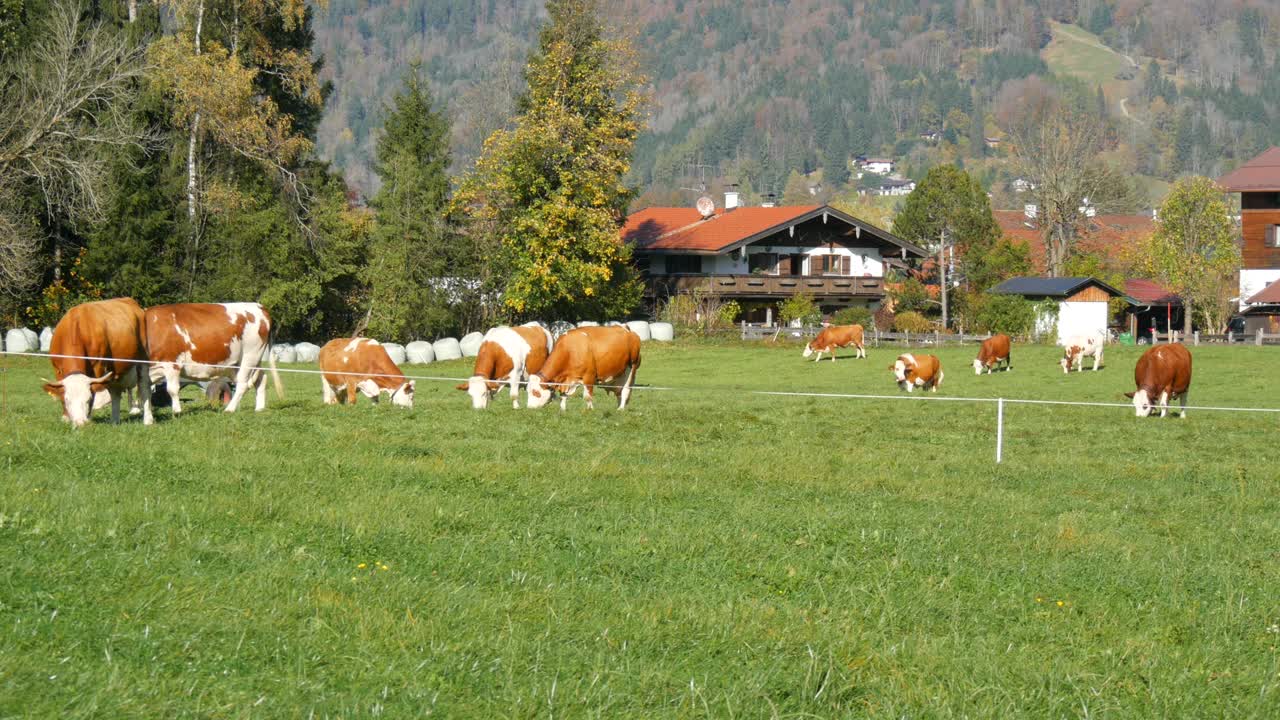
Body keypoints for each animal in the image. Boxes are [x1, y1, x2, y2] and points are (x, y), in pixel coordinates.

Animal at [40, 297, 152, 425]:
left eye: (88, 399)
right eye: (67, 400)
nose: (80, 423)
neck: (75, 328)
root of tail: (129, 300)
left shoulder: (98, 366)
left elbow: (94, 391)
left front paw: (88, 417)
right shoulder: (57, 369)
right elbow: (60, 391)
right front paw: (65, 417)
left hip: (142, 357)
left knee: (144, 386)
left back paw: (148, 420)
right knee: (115, 392)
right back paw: (114, 421)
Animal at [144, 301, 281, 412]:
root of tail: (258, 306)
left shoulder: (172, 363)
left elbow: (172, 389)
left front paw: (177, 411)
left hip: (250, 357)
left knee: (243, 384)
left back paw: (229, 409)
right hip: (246, 362)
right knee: (261, 378)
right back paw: (259, 408)